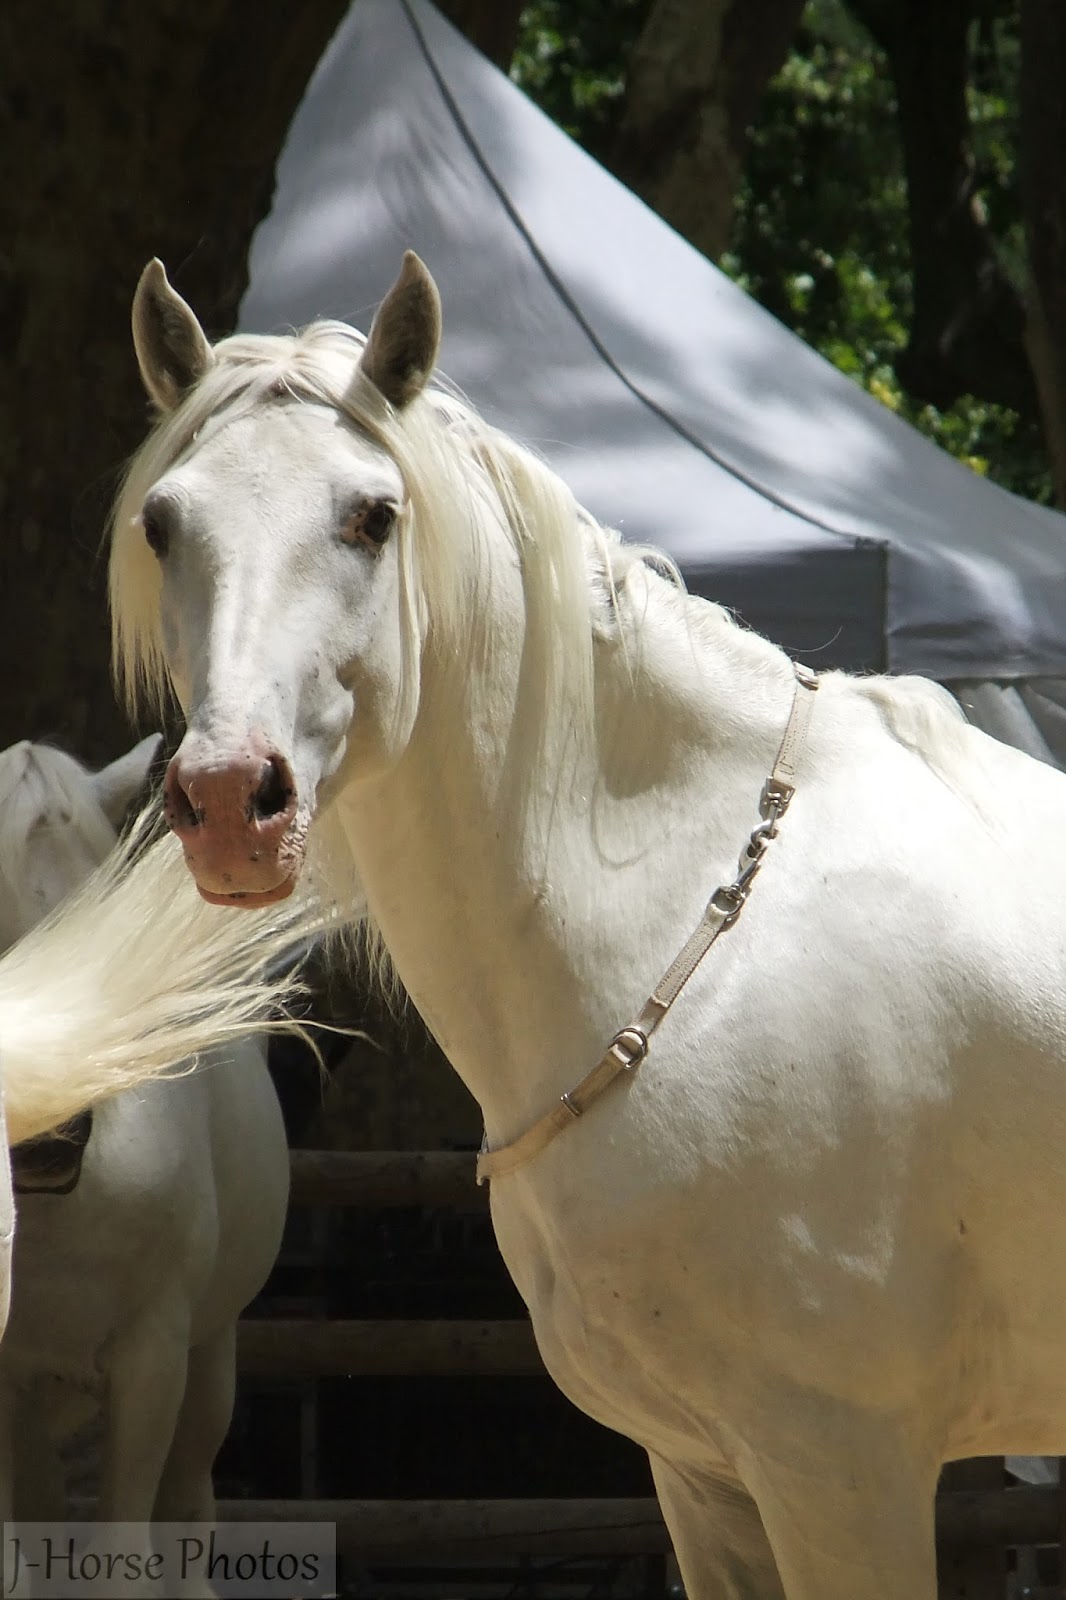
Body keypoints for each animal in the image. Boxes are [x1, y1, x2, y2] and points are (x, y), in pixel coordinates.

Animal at [109, 249, 1066, 1600]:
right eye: (163, 523)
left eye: (372, 516)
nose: (234, 802)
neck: (695, 929)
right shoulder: (708, 1476)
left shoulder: (844, 1468)